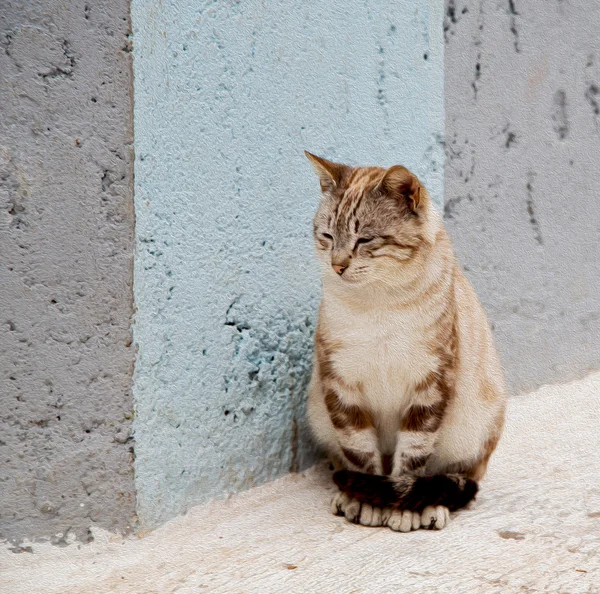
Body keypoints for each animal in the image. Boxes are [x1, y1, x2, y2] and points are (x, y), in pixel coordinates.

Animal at [304, 150, 506, 528]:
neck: (379, 303)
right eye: (327, 236)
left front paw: (402, 509)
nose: (337, 265)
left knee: (455, 478)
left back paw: (430, 506)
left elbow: (412, 458)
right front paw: (366, 503)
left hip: (476, 426)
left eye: (364, 240)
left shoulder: (430, 384)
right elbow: (360, 454)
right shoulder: (341, 384)